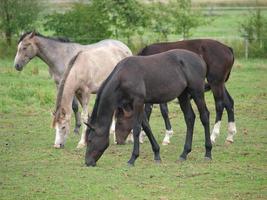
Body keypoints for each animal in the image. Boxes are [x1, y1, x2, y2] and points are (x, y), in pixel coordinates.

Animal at [85, 49, 213, 166]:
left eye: (90, 140)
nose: (87, 162)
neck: (123, 76)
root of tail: (200, 58)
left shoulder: (138, 102)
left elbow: (137, 128)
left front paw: (133, 158)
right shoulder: (135, 105)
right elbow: (146, 126)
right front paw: (157, 154)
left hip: (197, 92)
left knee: (204, 116)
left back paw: (208, 152)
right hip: (183, 95)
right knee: (189, 118)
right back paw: (184, 153)